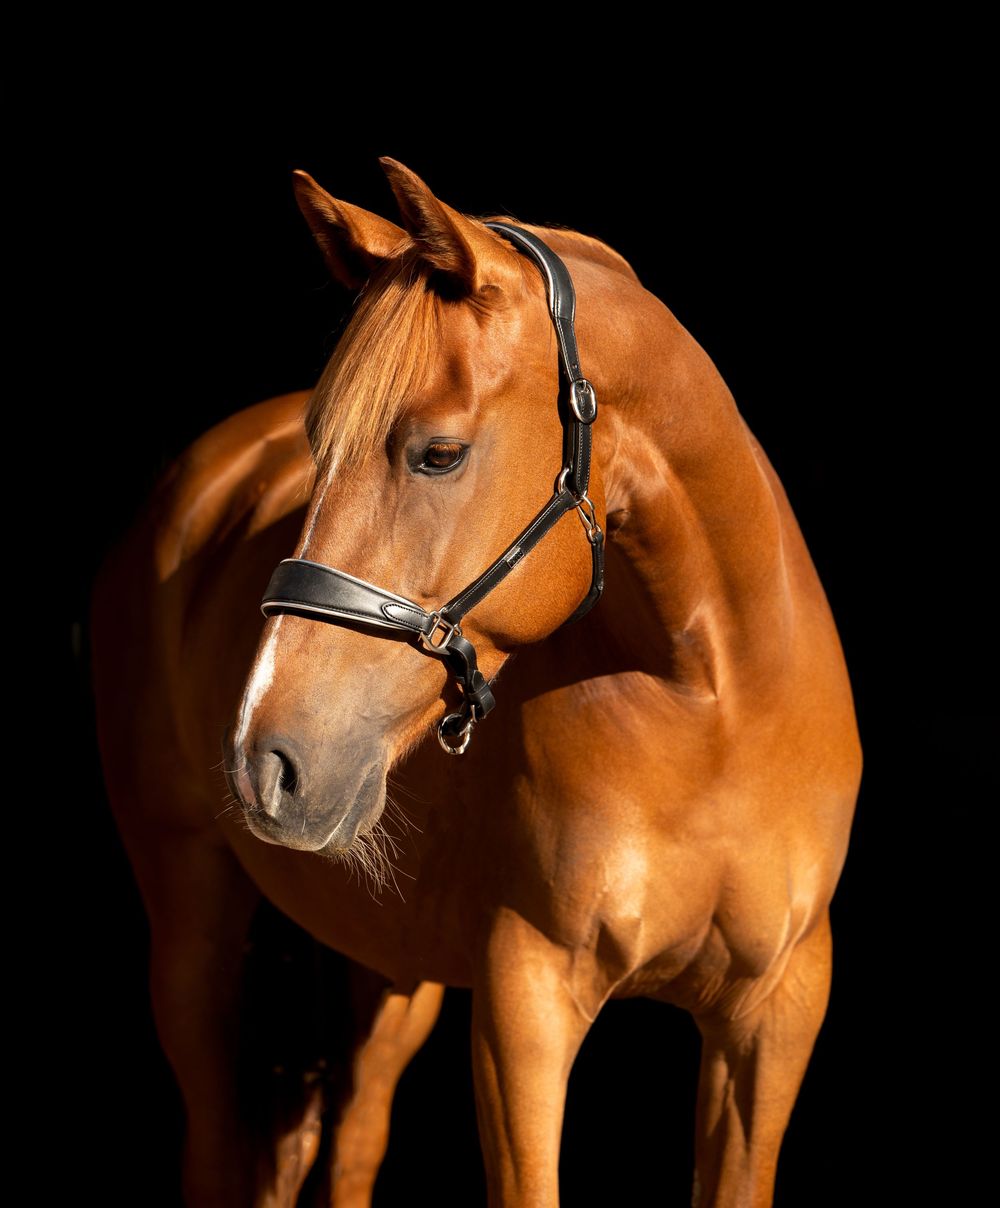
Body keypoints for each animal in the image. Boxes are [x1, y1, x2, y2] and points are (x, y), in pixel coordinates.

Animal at [91, 156, 861, 1207]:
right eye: (318, 446)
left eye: (440, 453)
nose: (266, 763)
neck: (715, 712)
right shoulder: (524, 1000)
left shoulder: (773, 1017)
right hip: (191, 926)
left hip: (390, 968)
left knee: (354, 1143)